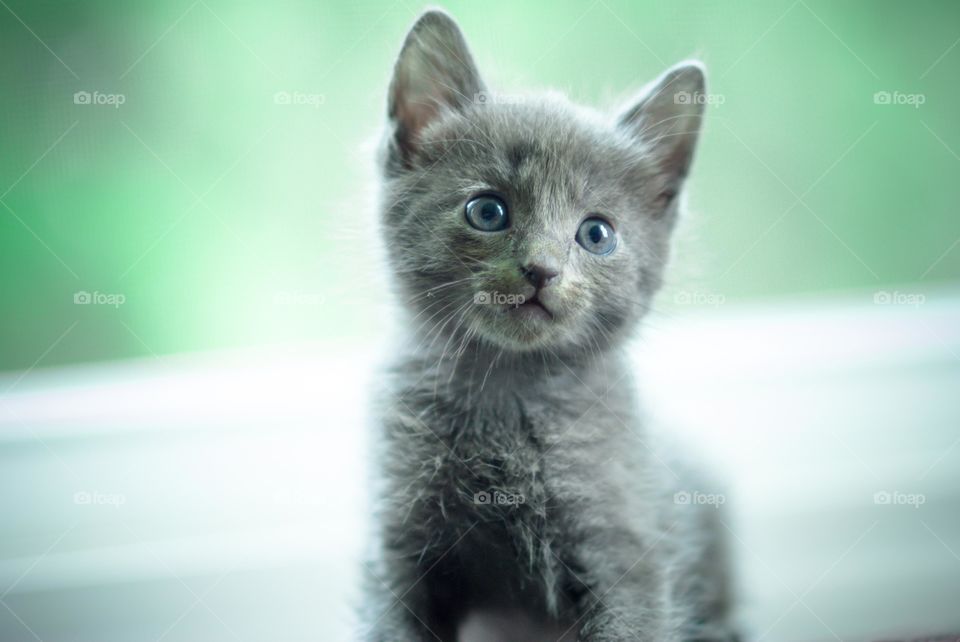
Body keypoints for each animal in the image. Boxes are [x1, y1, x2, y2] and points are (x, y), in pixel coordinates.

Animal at [362, 10, 736, 640]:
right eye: (487, 211)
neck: (506, 390)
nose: (541, 269)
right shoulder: (401, 548)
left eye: (596, 234)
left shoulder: (625, 553)